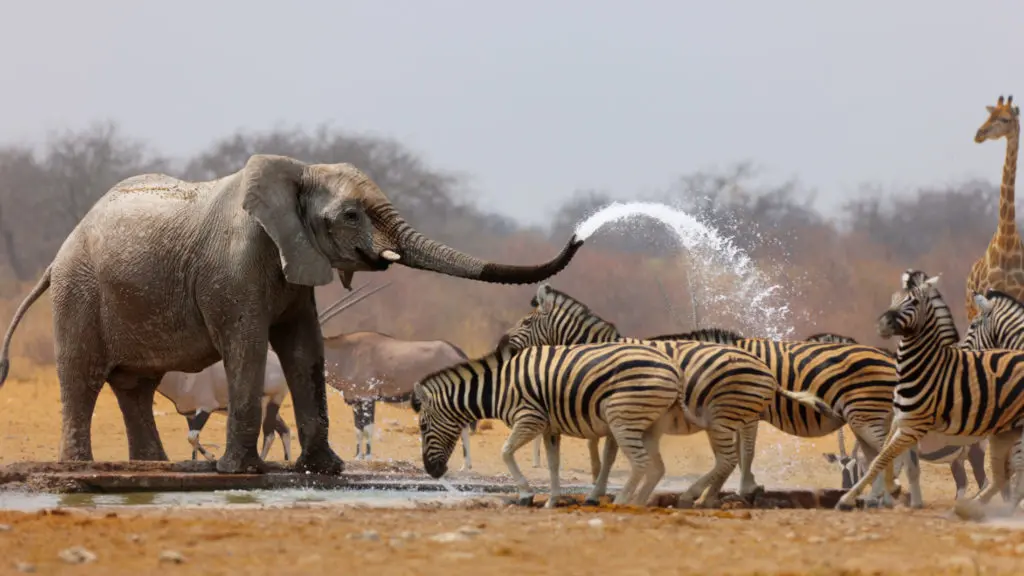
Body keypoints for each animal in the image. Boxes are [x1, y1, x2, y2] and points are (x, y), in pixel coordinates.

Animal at [0, 154, 584, 475]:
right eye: (350, 215)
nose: (580, 233)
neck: (298, 172)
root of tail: (59, 253)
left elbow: (304, 349)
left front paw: (325, 470)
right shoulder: (234, 266)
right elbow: (247, 345)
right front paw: (237, 472)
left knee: (136, 387)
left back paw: (152, 466)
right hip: (78, 291)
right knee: (82, 376)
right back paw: (80, 467)